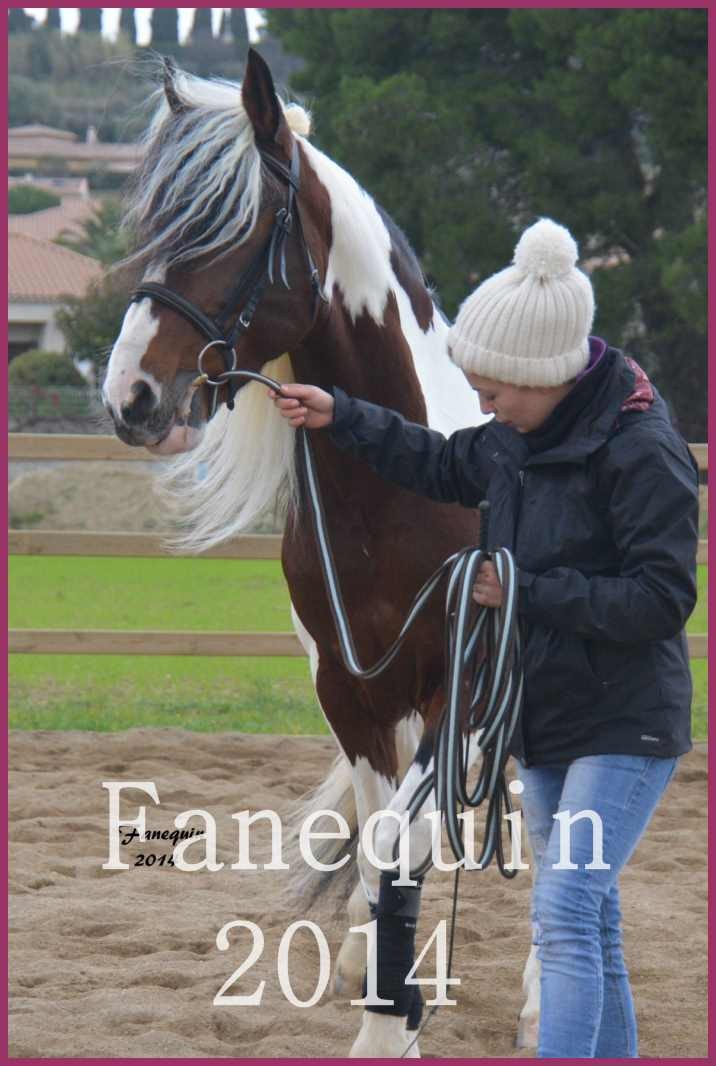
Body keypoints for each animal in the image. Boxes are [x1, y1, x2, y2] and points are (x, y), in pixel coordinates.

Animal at [103, 47, 539, 1048]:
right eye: (154, 227)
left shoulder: (458, 685)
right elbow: (384, 841)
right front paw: (381, 979)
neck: (411, 486)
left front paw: (393, 1021)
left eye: (231, 228)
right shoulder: (351, 692)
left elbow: (411, 837)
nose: (129, 396)